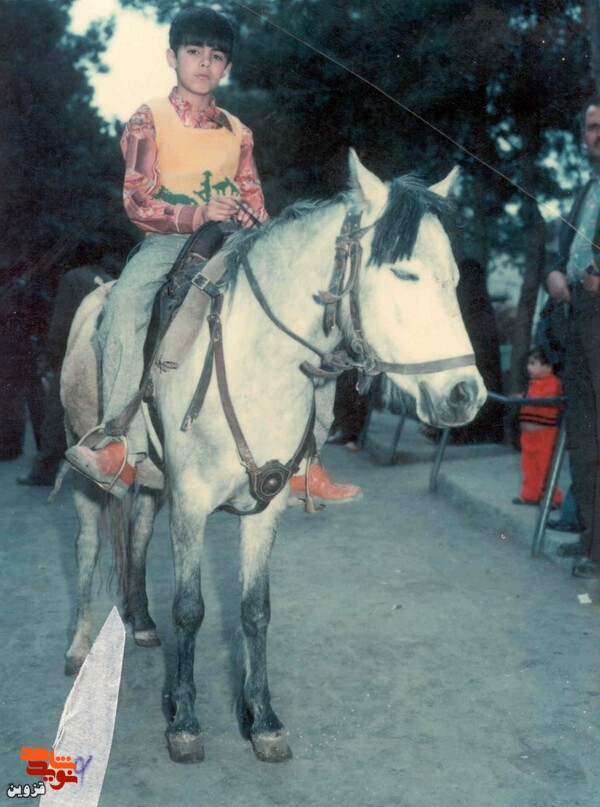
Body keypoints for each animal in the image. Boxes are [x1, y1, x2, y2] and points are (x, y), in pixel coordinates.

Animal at [60, 149, 486, 764]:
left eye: (452, 277)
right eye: (404, 273)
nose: (464, 394)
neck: (257, 359)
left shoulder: (266, 503)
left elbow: (255, 610)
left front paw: (261, 719)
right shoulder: (191, 500)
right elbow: (191, 608)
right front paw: (184, 720)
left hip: (151, 480)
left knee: (135, 530)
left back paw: (139, 622)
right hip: (87, 468)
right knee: (90, 545)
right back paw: (78, 646)